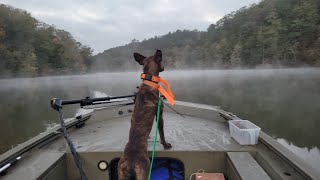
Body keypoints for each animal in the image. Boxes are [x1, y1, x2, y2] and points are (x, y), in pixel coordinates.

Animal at [118, 49, 172, 180]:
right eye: (161, 61)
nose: (164, 66)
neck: (149, 81)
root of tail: (129, 163)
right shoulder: (160, 114)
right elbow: (162, 133)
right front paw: (166, 144)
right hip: (144, 171)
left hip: (120, 174)